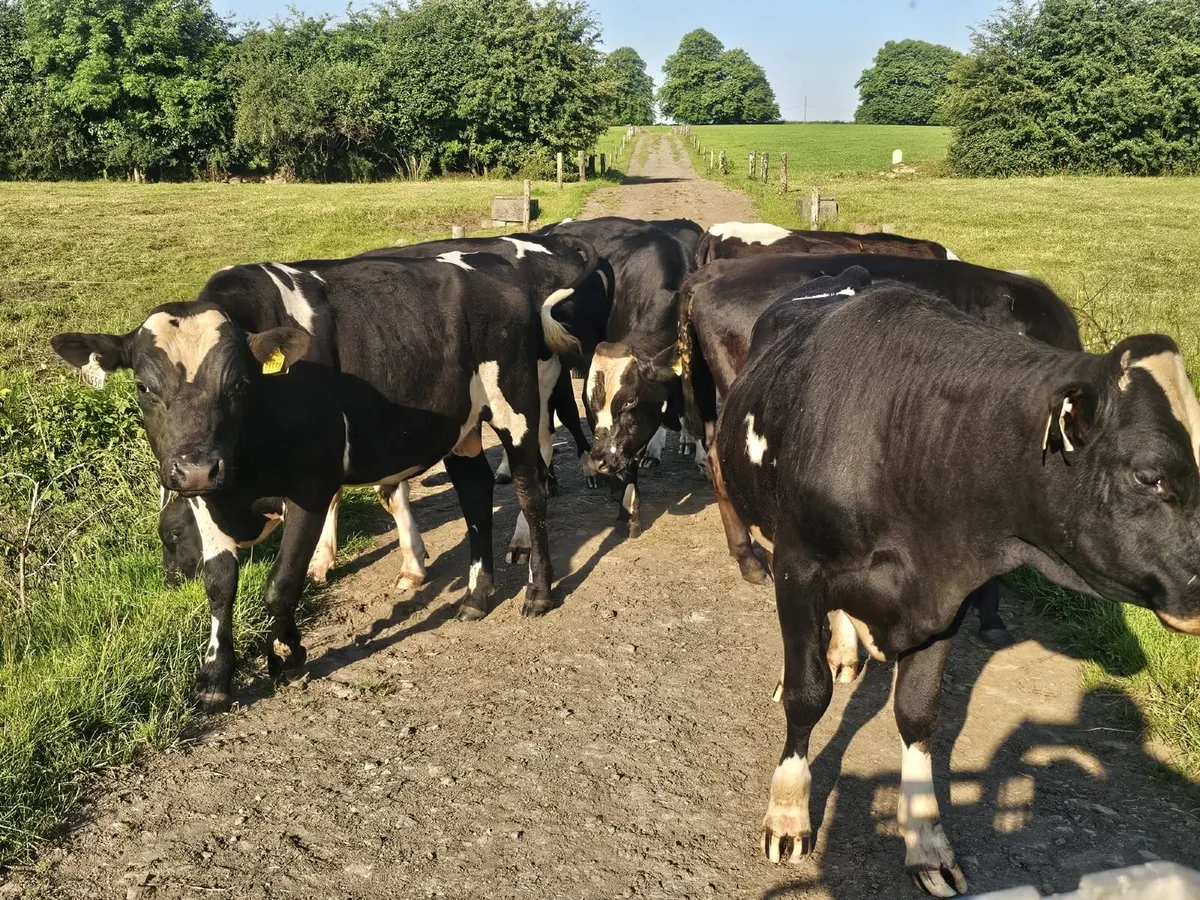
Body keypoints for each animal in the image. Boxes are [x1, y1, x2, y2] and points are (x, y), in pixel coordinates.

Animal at [53, 252, 559, 713]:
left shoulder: (311, 486)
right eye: (142, 386)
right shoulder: (207, 498)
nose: (196, 468)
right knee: (475, 496)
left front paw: (287, 655)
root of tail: (492, 263)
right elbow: (220, 584)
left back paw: (537, 592)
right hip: (461, 429)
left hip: (517, 405)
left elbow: (281, 582)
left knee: (531, 491)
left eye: (239, 383)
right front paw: (214, 677)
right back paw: (476, 596)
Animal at [537, 216, 701, 536]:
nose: (600, 461)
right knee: (557, 416)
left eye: (628, 402)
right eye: (591, 404)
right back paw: (556, 478)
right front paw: (625, 503)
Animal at [715, 275, 1200, 896]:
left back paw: (846, 650)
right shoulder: (800, 571)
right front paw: (788, 814)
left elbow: (920, 713)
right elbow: (808, 695)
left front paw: (925, 842)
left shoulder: (946, 595)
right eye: (1150, 475)